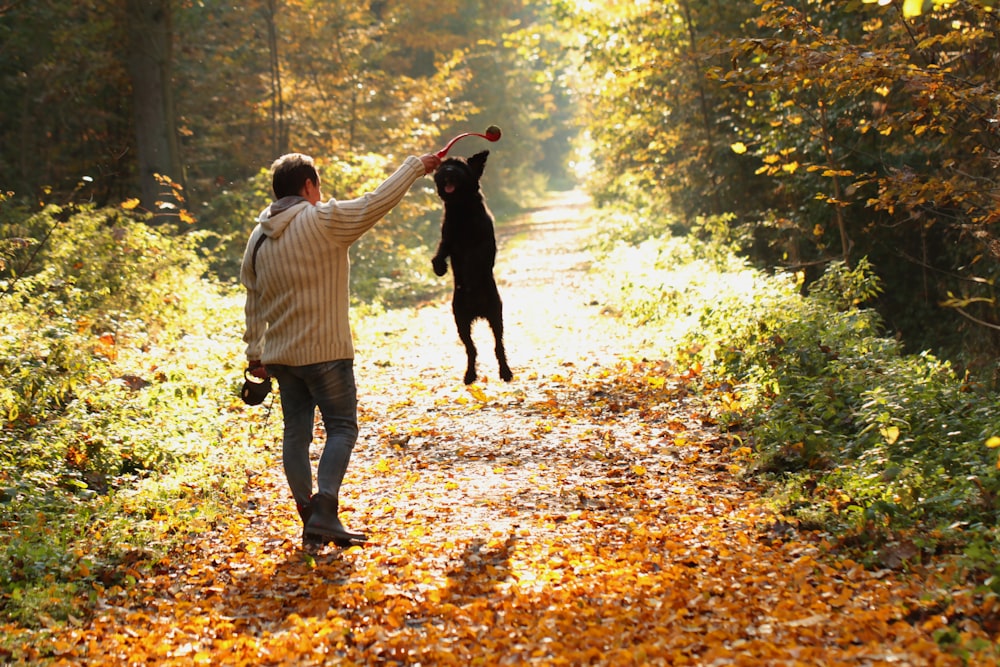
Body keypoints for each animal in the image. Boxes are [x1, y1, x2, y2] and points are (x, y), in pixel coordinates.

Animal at [432, 149, 512, 384]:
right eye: (443, 165)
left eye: (460, 166)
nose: (448, 170)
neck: (461, 208)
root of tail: (477, 311)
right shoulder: (447, 239)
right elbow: (440, 253)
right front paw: (439, 268)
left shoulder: (484, 239)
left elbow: (477, 256)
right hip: (460, 321)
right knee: (471, 349)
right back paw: (470, 374)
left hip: (495, 315)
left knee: (498, 345)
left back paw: (505, 371)